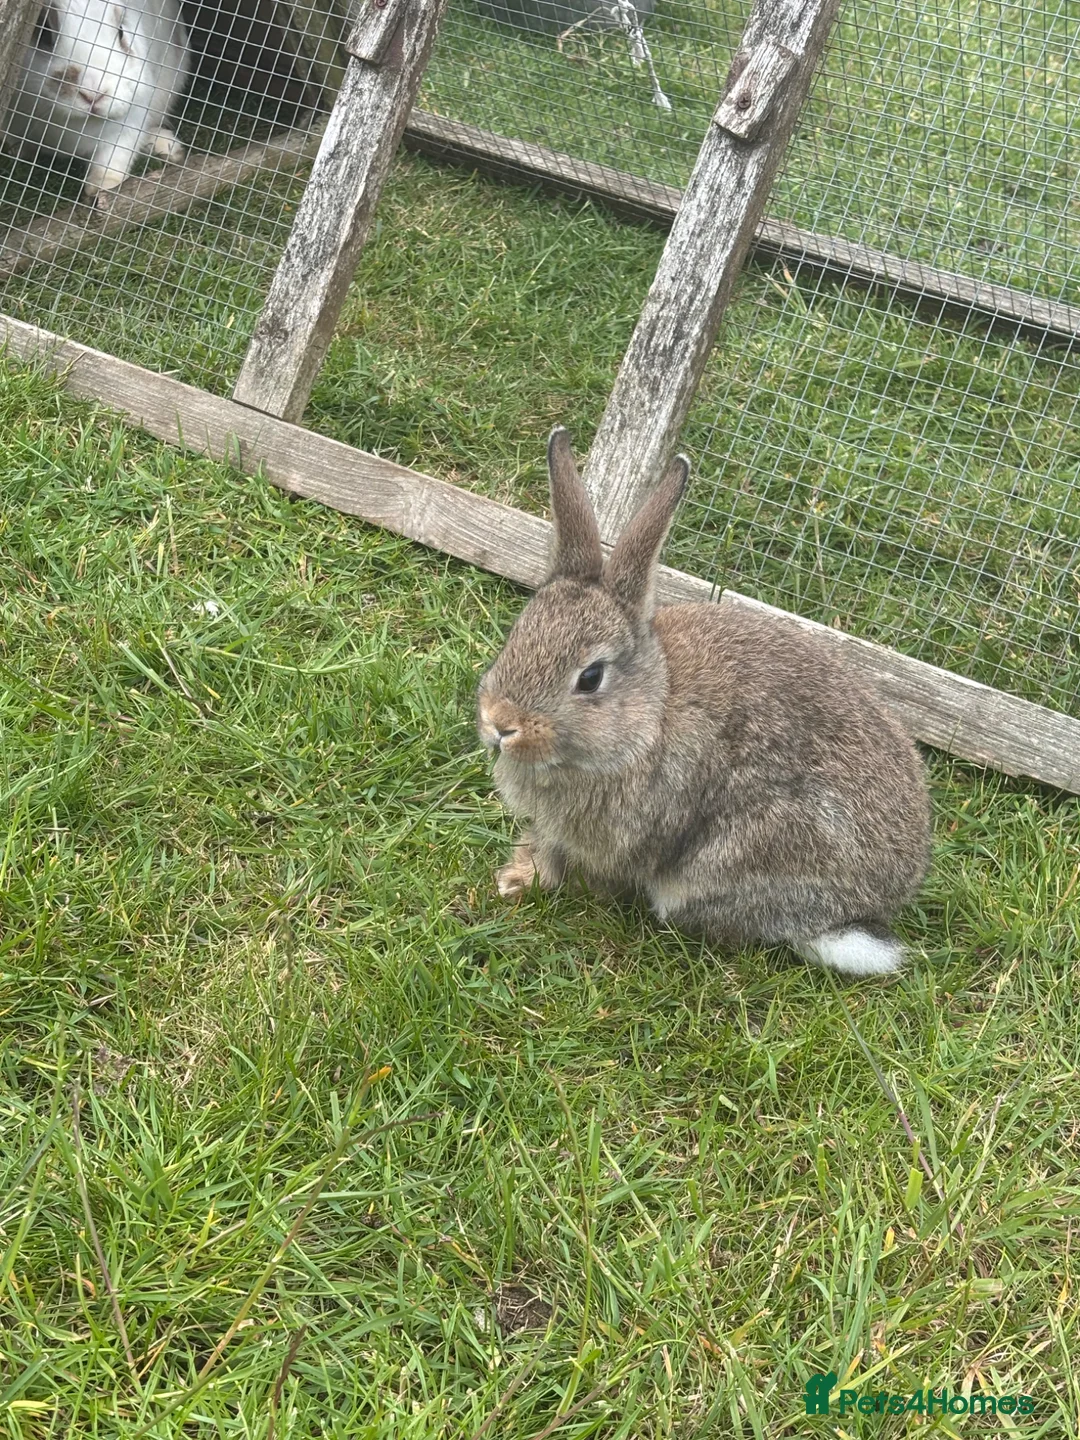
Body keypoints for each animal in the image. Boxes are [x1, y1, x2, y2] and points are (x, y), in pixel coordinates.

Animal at [4, 0, 192, 205]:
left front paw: (103, 188)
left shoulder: (129, 124)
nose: (93, 94)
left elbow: (112, 161)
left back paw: (166, 147)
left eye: (120, 32)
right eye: (44, 32)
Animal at [477, 429, 932, 976]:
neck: (650, 717)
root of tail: (861, 911)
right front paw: (515, 877)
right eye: (516, 636)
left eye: (589, 678)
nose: (500, 724)